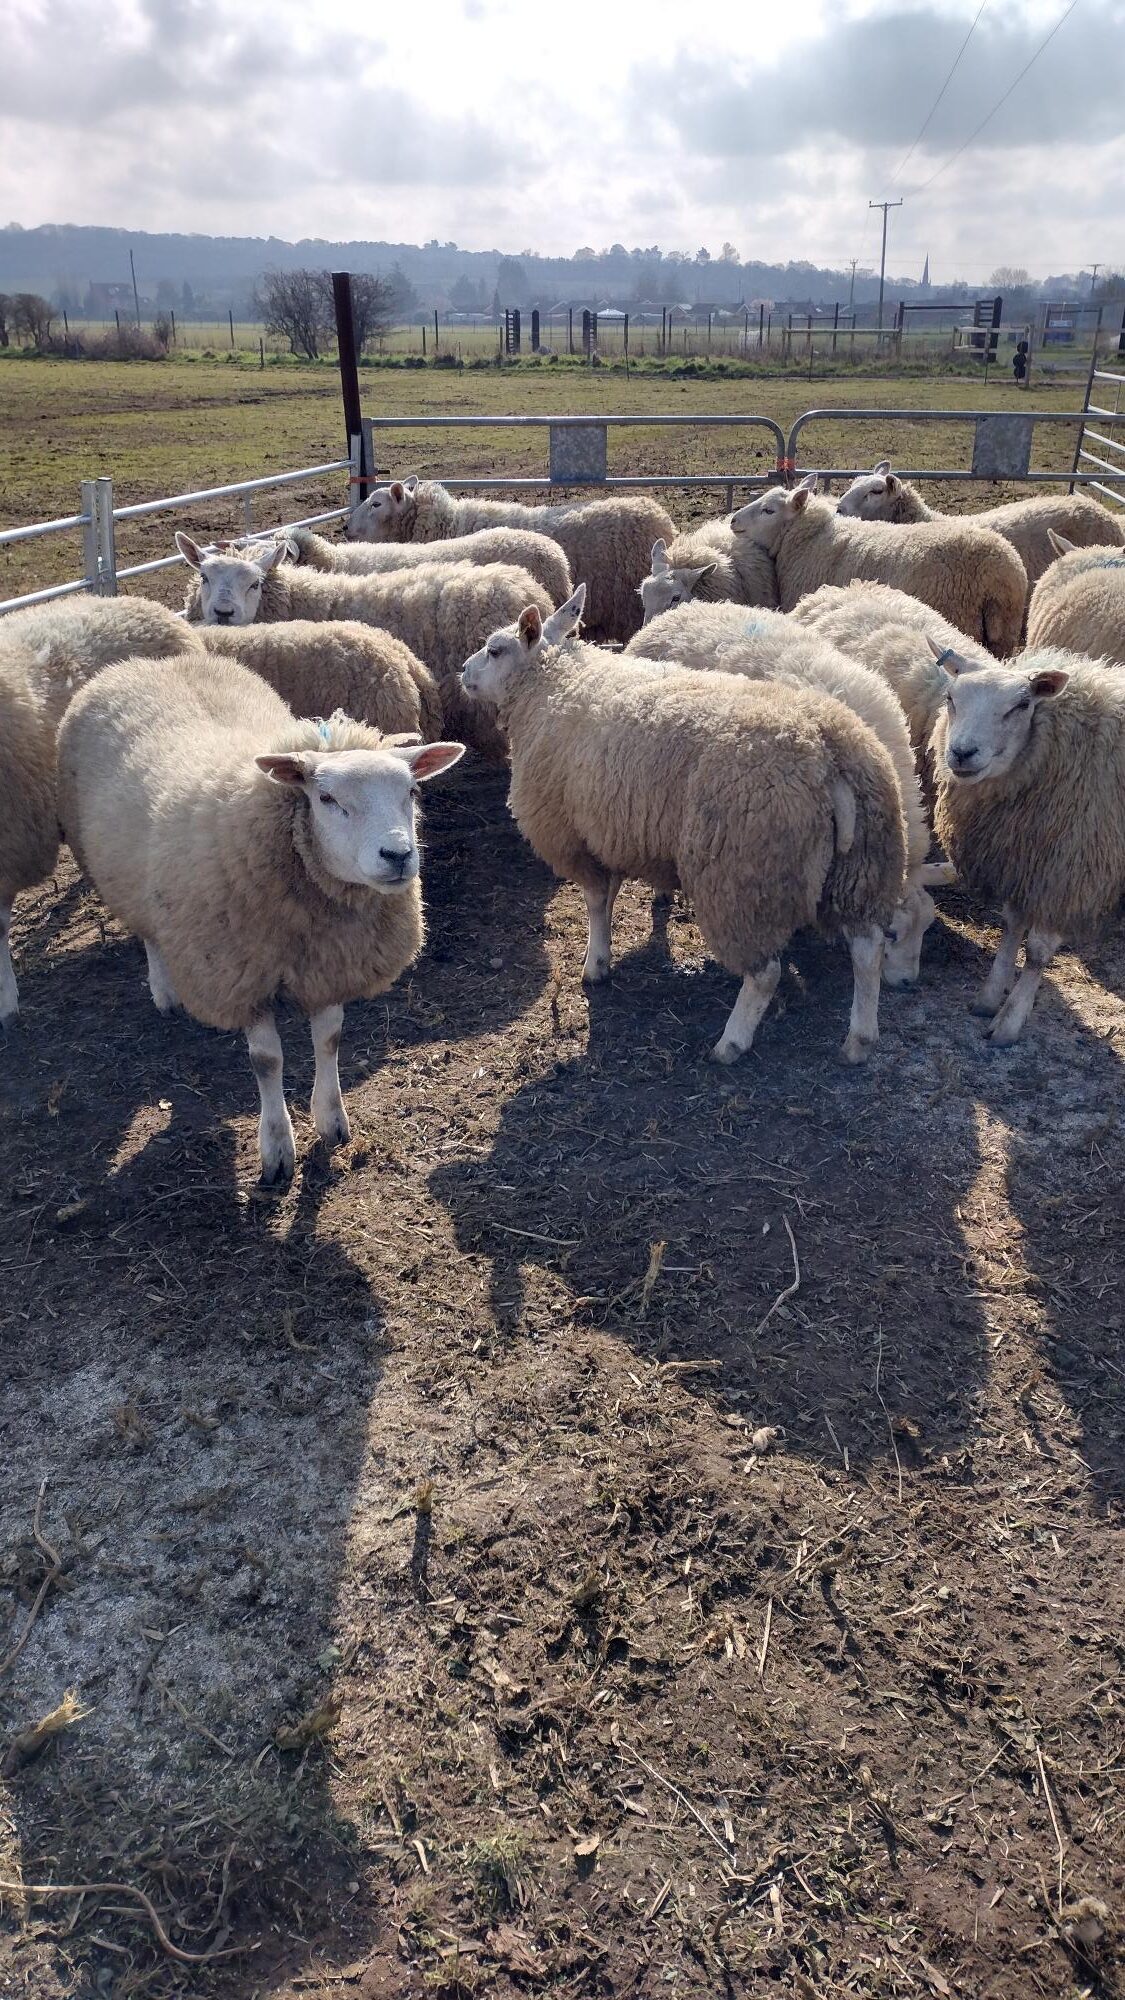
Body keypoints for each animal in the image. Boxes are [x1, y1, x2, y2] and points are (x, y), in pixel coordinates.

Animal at [56, 649, 464, 1181]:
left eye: (411, 792)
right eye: (326, 798)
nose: (397, 856)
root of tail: (147, 661)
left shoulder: (329, 963)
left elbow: (330, 1039)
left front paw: (331, 1121)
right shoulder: (241, 974)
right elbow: (267, 1061)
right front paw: (276, 1148)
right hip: (119, 872)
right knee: (149, 933)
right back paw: (165, 991)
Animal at [460, 585, 906, 1066]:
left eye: (494, 650)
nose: (462, 671)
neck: (553, 684)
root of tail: (826, 750)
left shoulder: (574, 835)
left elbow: (597, 901)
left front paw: (596, 963)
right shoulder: (614, 830)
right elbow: (612, 894)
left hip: (742, 876)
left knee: (765, 972)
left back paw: (731, 1042)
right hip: (864, 864)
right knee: (868, 948)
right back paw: (860, 1039)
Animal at [730, 476, 1028, 655]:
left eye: (768, 510)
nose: (733, 520)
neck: (809, 537)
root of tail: (995, 577)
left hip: (959, 617)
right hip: (1005, 635)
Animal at [930, 643, 1125, 1042]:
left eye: (1021, 705)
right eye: (951, 698)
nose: (962, 753)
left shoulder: (1067, 871)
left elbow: (1036, 952)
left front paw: (1009, 1021)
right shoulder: (1022, 858)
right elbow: (1012, 928)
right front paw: (990, 997)